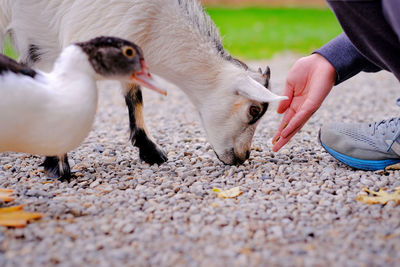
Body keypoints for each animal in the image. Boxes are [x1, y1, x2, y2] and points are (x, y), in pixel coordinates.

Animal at [0, 0, 288, 174]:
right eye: (254, 110)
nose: (243, 156)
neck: (155, 23)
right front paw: (58, 165)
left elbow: (134, 95)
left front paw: (150, 150)